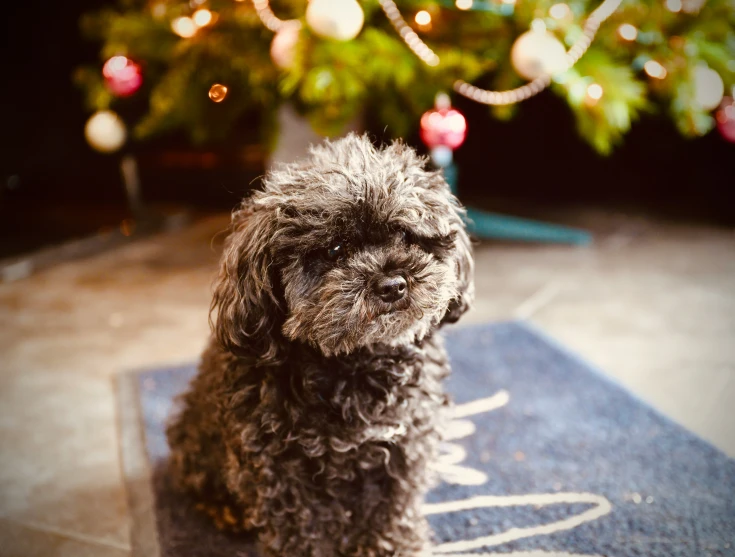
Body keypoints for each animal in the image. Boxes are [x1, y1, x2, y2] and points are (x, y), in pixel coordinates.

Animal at [167, 135, 474, 556]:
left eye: (405, 235)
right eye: (334, 250)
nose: (392, 284)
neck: (355, 365)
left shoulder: (403, 449)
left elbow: (390, 514)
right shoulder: (279, 472)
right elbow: (302, 532)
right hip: (196, 445)